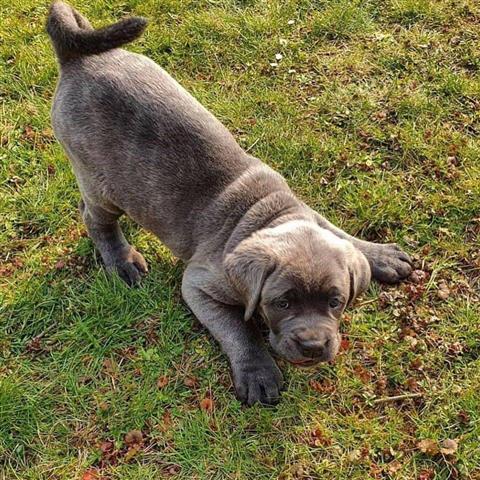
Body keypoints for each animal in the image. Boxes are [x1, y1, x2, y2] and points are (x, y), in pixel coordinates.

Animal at [46, 2, 412, 404]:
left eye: (335, 301)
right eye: (282, 303)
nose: (313, 347)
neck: (268, 215)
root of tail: (77, 57)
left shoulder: (310, 215)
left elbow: (340, 233)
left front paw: (380, 255)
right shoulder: (200, 285)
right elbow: (239, 329)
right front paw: (257, 371)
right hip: (100, 183)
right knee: (96, 219)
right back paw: (122, 260)